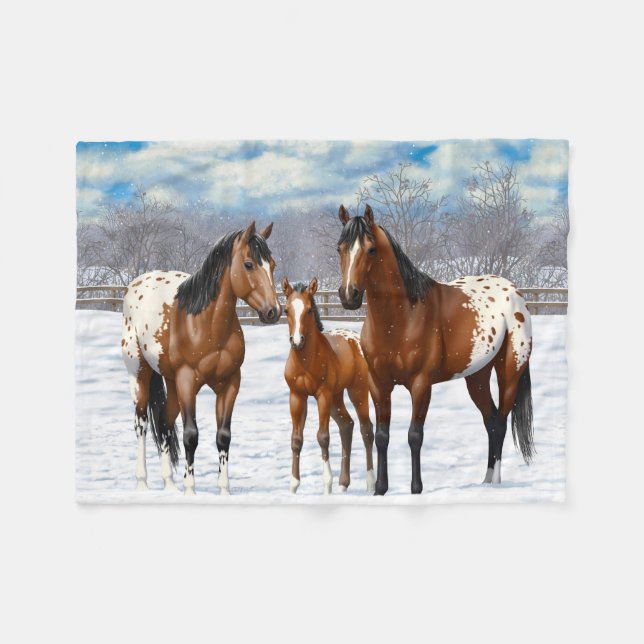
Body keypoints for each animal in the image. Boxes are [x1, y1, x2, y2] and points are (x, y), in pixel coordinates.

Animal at [121, 222, 281, 495]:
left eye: (272, 264)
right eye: (249, 264)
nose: (274, 311)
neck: (205, 325)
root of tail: (136, 284)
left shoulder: (230, 383)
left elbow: (223, 436)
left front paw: (224, 490)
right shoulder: (187, 381)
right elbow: (191, 435)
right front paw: (190, 489)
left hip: (171, 382)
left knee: (163, 424)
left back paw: (169, 484)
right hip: (140, 373)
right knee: (141, 424)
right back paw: (142, 483)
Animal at [282, 277, 375, 494]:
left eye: (309, 310)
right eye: (286, 310)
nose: (297, 341)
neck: (305, 361)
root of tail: (355, 339)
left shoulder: (322, 395)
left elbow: (322, 436)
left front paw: (327, 485)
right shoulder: (296, 396)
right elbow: (296, 439)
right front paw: (293, 486)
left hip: (357, 391)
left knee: (366, 429)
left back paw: (370, 483)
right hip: (336, 396)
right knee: (346, 425)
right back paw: (343, 484)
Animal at [336, 204, 534, 495]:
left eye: (370, 249)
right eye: (339, 248)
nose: (349, 295)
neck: (401, 317)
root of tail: (514, 291)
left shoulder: (421, 385)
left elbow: (414, 435)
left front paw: (416, 488)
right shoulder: (378, 384)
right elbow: (382, 436)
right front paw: (381, 489)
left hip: (510, 373)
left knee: (499, 422)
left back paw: (496, 481)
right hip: (477, 377)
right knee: (490, 421)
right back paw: (486, 480)